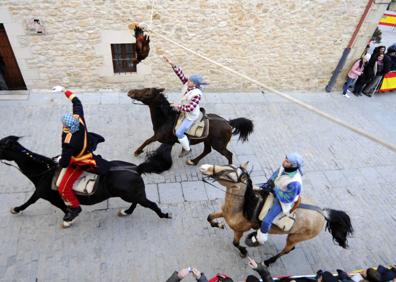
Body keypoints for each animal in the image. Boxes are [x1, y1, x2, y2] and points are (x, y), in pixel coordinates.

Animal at [0, 135, 173, 228]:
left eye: (1, 146)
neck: (44, 170)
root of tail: (137, 168)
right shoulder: (46, 194)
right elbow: (37, 202)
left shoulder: (47, 195)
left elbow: (43, 204)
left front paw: (68, 220)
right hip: (131, 194)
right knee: (137, 203)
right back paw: (126, 212)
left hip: (131, 194)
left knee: (151, 204)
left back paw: (164, 215)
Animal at [200, 162, 354, 266]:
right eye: (226, 165)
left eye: (228, 172)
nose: (203, 167)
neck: (243, 205)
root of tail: (322, 213)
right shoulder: (223, 213)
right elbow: (209, 217)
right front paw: (218, 224)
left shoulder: (239, 230)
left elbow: (235, 243)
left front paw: (243, 251)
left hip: (294, 237)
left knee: (287, 250)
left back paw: (268, 260)